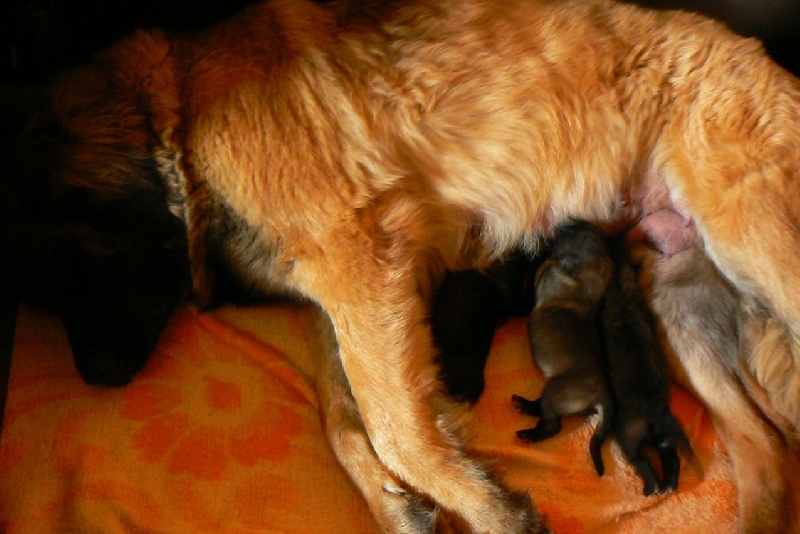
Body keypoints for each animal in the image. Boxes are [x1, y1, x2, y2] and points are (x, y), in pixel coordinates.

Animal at [512, 222, 612, 478]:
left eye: (571, 234)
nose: (564, 223)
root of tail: (601, 394)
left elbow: (539, 268)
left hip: (554, 389)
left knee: (552, 424)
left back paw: (529, 431)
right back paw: (524, 405)